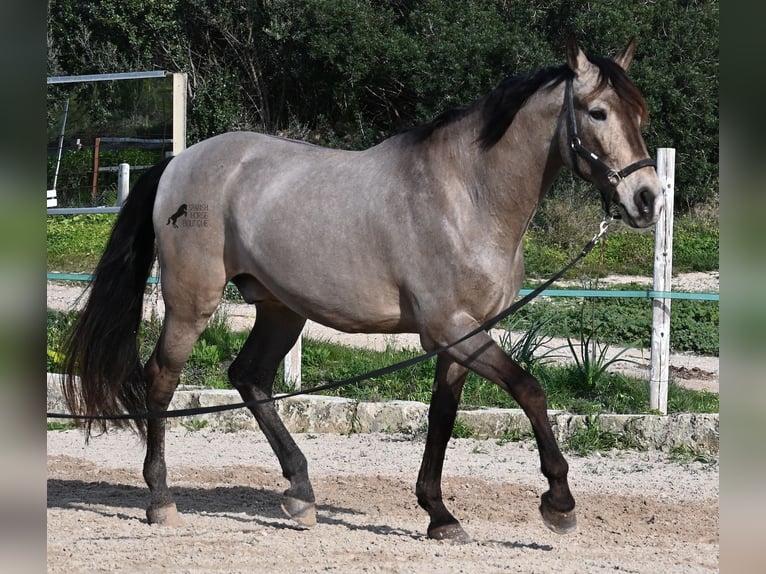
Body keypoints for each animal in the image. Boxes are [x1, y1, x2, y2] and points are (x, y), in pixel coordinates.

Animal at [61, 36, 661, 542]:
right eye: (598, 112)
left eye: (639, 114)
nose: (648, 198)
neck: (466, 194)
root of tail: (178, 162)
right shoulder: (452, 329)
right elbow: (530, 390)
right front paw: (559, 502)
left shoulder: (459, 338)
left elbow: (442, 418)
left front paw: (439, 515)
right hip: (192, 303)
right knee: (161, 382)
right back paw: (161, 500)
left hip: (281, 309)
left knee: (249, 378)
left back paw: (301, 494)